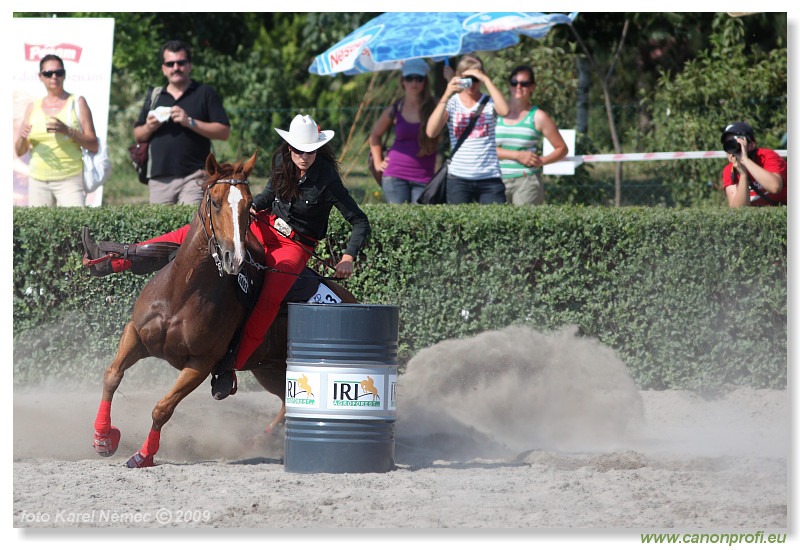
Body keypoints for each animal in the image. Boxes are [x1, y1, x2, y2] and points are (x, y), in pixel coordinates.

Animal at [90, 154, 356, 470]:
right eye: (215, 202)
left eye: (248, 204)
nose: (235, 258)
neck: (182, 292)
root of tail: (350, 300)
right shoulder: (136, 334)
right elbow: (111, 375)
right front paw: (103, 438)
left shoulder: (201, 364)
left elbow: (163, 408)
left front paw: (144, 455)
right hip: (270, 370)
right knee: (285, 402)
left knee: (287, 404)